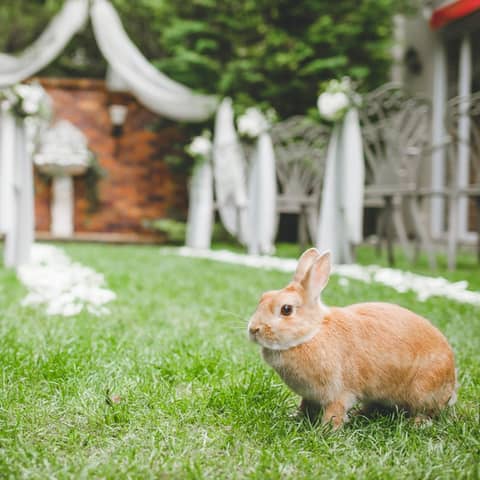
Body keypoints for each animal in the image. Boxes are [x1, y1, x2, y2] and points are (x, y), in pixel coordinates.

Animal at [248, 248, 458, 428]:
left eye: (286, 309)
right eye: (263, 297)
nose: (253, 329)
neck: (312, 334)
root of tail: (451, 382)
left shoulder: (339, 393)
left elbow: (335, 412)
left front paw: (326, 430)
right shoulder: (310, 395)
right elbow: (305, 405)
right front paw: (296, 417)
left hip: (422, 389)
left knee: (426, 412)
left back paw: (416, 423)